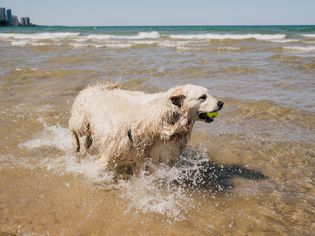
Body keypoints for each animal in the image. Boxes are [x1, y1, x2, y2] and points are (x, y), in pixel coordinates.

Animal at [68, 82, 225, 174]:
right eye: (202, 97)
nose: (221, 103)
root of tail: (93, 87)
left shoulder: (150, 156)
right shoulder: (114, 151)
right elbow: (101, 167)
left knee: (88, 137)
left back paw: (87, 143)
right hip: (80, 121)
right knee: (73, 129)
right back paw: (76, 145)